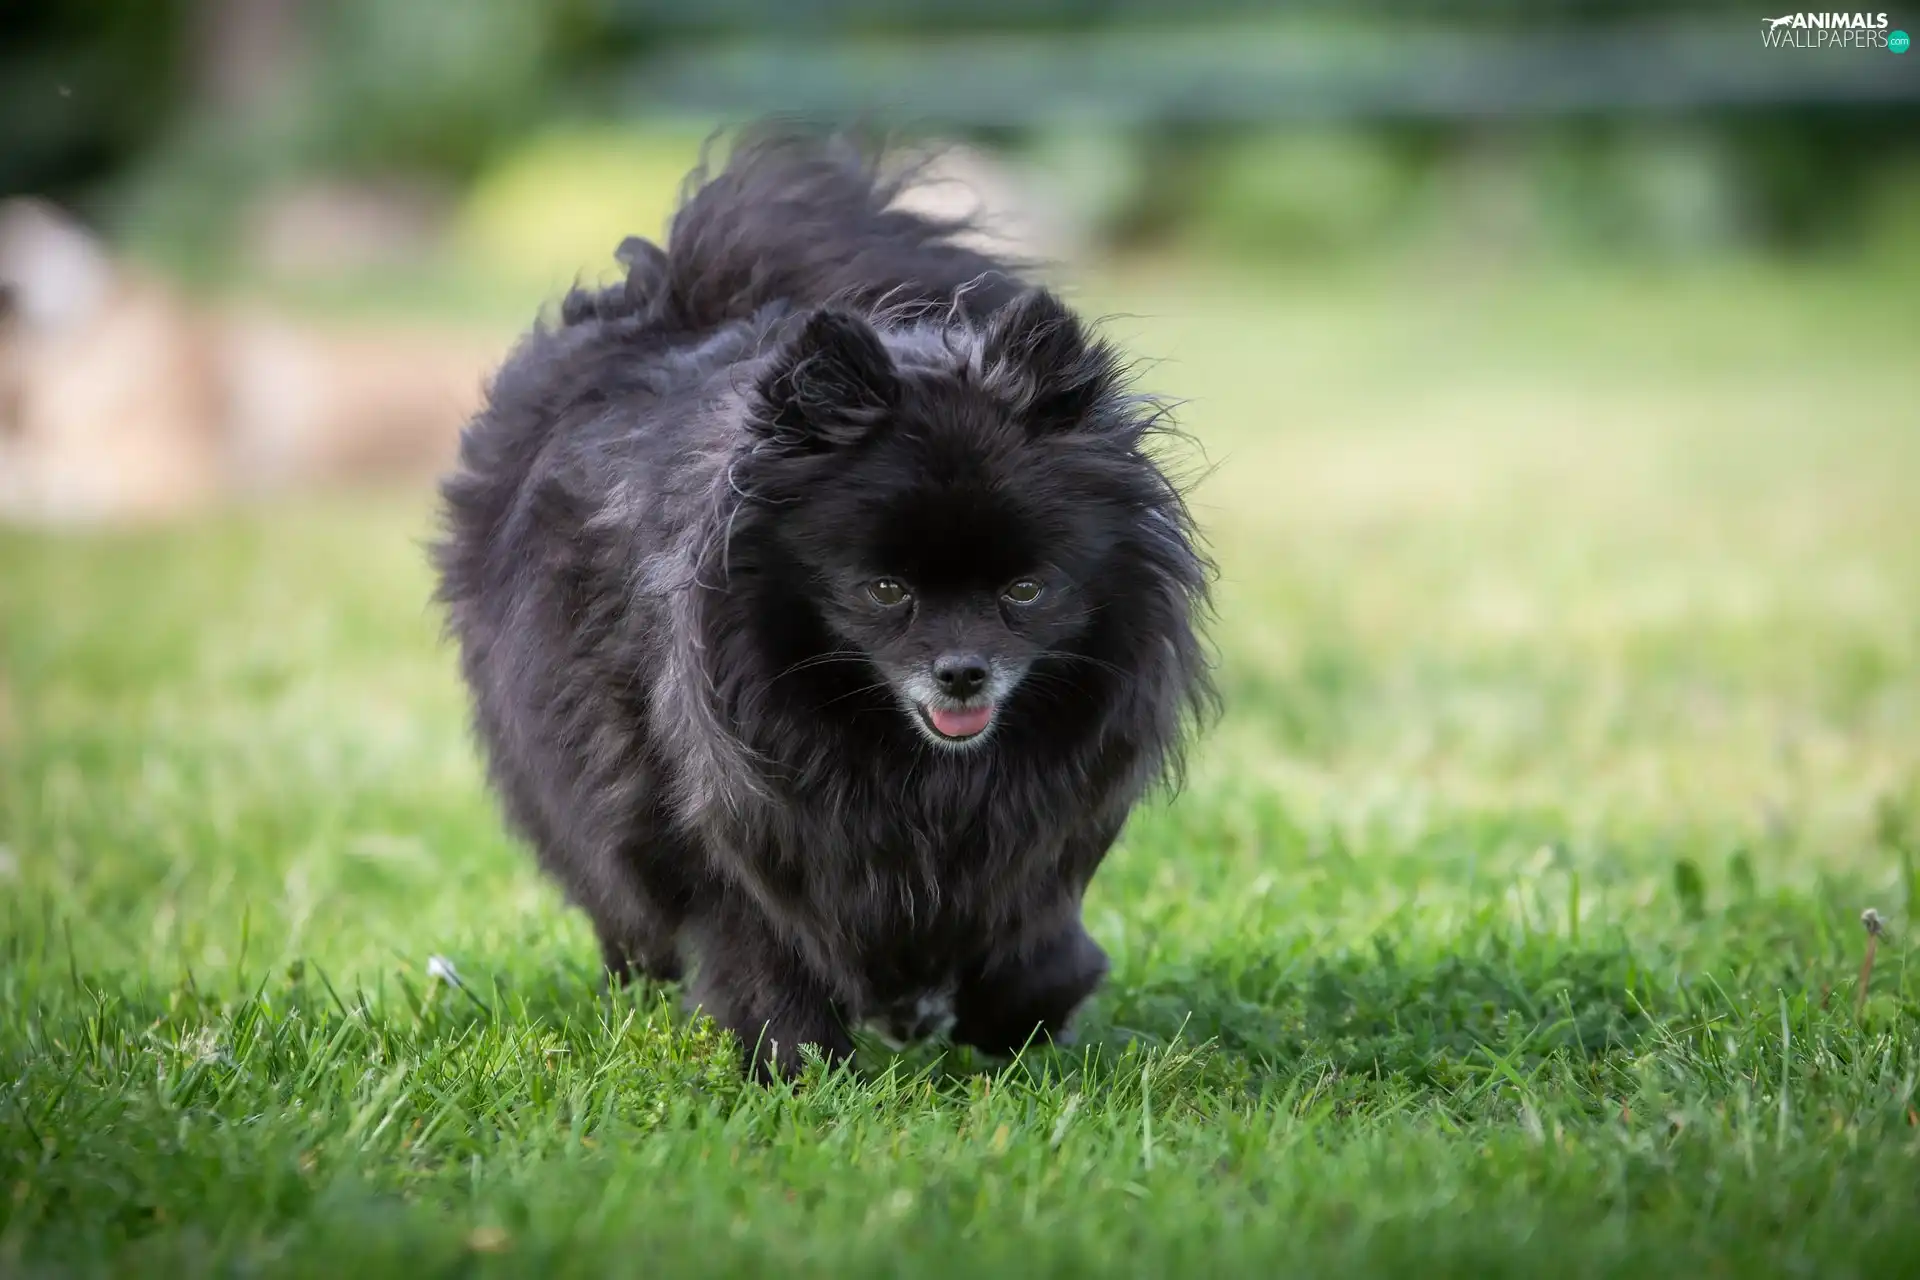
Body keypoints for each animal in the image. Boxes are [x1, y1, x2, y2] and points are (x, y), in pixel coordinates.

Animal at [441, 127, 1205, 1082]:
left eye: (1026, 590)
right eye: (885, 592)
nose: (962, 672)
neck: (909, 766)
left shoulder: (1026, 832)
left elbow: (1031, 935)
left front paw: (1016, 1017)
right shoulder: (724, 819)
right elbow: (757, 943)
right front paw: (795, 1068)